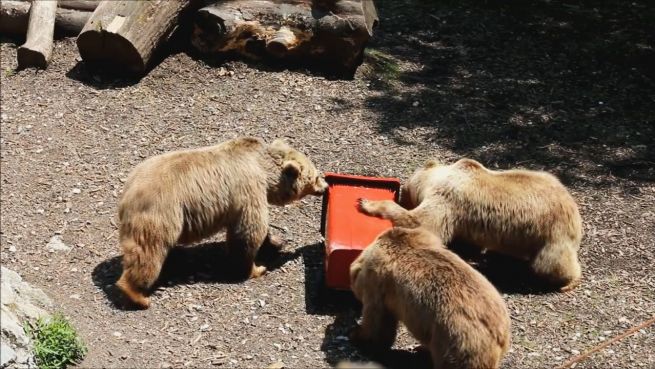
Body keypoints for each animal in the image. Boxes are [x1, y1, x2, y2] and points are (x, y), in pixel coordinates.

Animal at [116, 136, 328, 308]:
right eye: (316, 175)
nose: (325, 186)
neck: (265, 172)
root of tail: (128, 191)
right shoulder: (249, 191)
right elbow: (249, 232)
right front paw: (256, 268)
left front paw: (276, 242)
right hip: (161, 213)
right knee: (148, 251)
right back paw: (138, 295)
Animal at [352, 198, 510, 368]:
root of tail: (500, 337)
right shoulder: (422, 236)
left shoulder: (379, 282)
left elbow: (377, 318)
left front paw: (359, 335)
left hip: (458, 344)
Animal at [362, 157, 580, 290]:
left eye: (405, 192)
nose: (402, 196)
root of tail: (576, 220)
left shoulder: (448, 199)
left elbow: (424, 223)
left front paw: (366, 202)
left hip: (551, 235)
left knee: (549, 264)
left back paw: (567, 281)